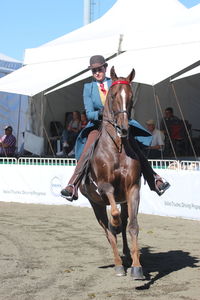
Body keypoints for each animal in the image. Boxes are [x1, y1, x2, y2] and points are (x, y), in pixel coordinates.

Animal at [79, 65, 144, 278]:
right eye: (114, 95)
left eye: (131, 96)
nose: (123, 128)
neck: (117, 148)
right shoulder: (105, 187)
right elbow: (112, 218)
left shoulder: (132, 189)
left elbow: (132, 226)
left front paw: (137, 267)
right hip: (95, 204)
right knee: (107, 231)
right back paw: (118, 264)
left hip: (122, 200)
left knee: (123, 224)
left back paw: (127, 256)